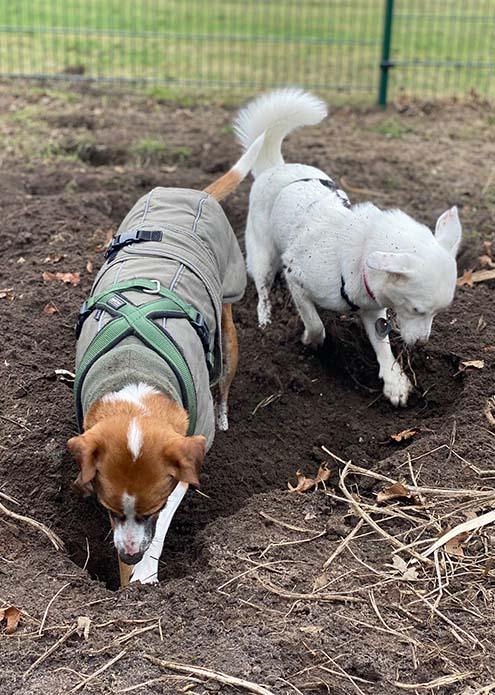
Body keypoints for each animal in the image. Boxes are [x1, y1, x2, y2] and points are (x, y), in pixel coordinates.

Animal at [69, 132, 268, 588]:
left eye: (152, 508)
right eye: (107, 509)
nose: (129, 551)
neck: (138, 372)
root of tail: (196, 193)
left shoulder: (190, 448)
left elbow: (164, 521)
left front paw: (145, 572)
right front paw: (129, 576)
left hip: (229, 324)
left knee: (224, 378)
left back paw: (226, 411)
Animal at [234, 91, 464, 408]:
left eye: (438, 312)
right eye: (417, 309)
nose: (421, 344)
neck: (361, 251)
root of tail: (275, 166)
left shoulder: (373, 310)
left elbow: (383, 346)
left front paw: (394, 381)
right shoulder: (297, 278)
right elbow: (315, 323)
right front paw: (311, 341)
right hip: (262, 254)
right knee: (262, 286)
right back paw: (266, 318)